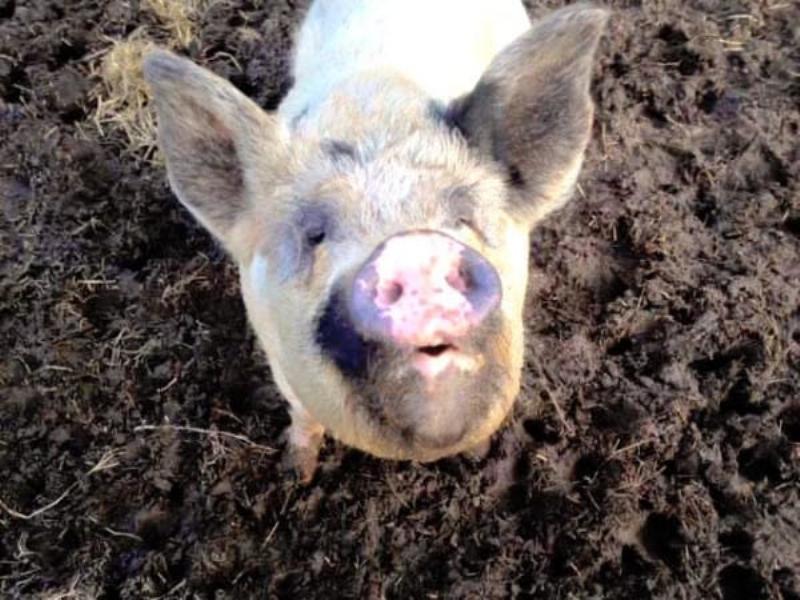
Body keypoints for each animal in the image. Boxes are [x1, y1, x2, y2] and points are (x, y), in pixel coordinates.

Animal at [143, 1, 608, 482]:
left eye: (464, 217)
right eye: (315, 234)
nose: (416, 250)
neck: (375, 106)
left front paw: (477, 460)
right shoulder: (276, 356)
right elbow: (302, 416)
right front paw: (296, 475)